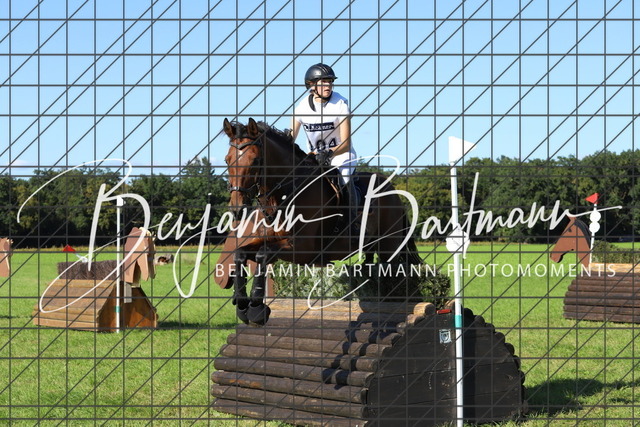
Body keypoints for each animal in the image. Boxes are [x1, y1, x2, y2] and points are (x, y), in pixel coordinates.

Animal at [217, 117, 422, 326]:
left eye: (255, 161)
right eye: (227, 160)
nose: (237, 209)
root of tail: (394, 191)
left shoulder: (303, 250)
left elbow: (261, 255)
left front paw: (256, 309)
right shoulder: (271, 241)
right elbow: (240, 254)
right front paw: (242, 305)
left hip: (388, 247)